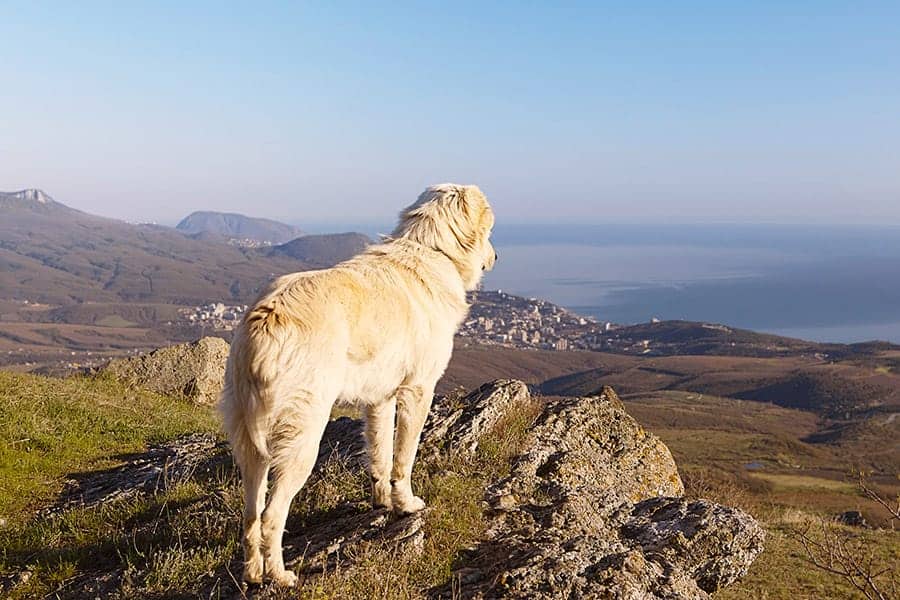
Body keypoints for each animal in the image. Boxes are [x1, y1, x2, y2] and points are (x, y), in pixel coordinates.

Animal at [221, 184, 496, 584]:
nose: (496, 256)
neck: (430, 250)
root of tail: (265, 321)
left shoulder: (380, 398)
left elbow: (380, 455)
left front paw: (382, 501)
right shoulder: (417, 392)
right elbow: (403, 459)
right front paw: (406, 505)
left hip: (249, 443)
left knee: (250, 516)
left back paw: (253, 573)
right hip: (301, 438)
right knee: (272, 516)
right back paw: (279, 575)